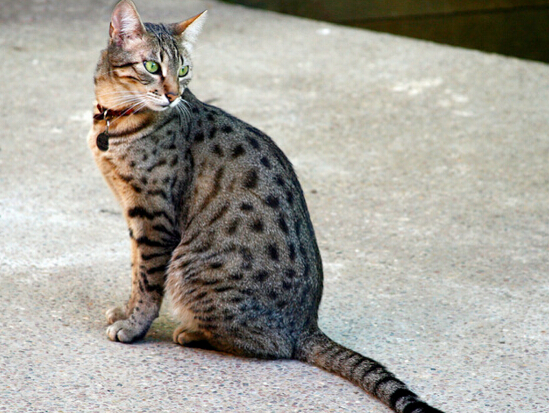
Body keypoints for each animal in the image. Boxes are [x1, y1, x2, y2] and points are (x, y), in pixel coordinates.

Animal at [87, 1, 445, 412]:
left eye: (183, 70)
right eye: (151, 66)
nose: (174, 95)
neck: (115, 119)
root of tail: (307, 326)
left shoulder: (153, 218)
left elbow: (147, 281)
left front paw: (134, 327)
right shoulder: (136, 216)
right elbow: (135, 273)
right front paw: (125, 310)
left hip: (189, 269)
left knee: (272, 347)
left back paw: (193, 333)